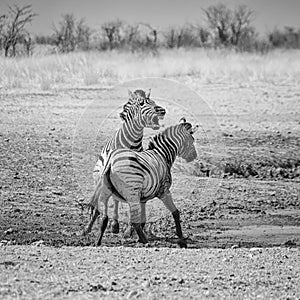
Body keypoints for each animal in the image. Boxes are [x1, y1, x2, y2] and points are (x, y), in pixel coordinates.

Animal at [83, 118, 198, 248]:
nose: (194, 156)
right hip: (132, 192)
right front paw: (182, 239)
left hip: (107, 190)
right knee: (132, 220)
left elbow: (143, 218)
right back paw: (145, 241)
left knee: (103, 217)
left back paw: (97, 241)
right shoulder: (164, 191)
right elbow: (175, 212)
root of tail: (111, 160)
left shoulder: (143, 197)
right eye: (192, 140)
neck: (162, 154)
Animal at [92, 89, 165, 234]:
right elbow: (117, 200)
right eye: (142, 103)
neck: (132, 145)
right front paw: (117, 225)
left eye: (153, 101)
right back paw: (113, 224)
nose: (162, 111)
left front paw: (134, 227)